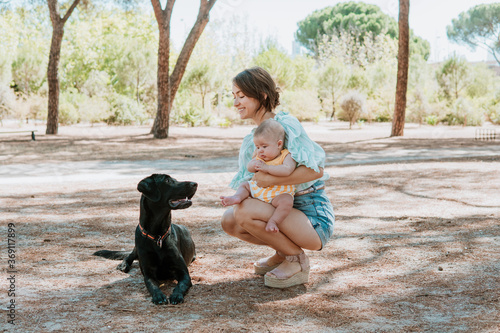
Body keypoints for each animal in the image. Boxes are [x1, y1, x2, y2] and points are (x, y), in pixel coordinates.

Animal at [94, 174, 197, 304]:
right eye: (168, 180)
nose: (195, 184)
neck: (158, 236)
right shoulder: (148, 274)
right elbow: (152, 286)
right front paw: (159, 296)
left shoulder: (184, 273)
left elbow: (181, 285)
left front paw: (176, 295)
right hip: (136, 248)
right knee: (129, 256)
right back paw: (123, 265)